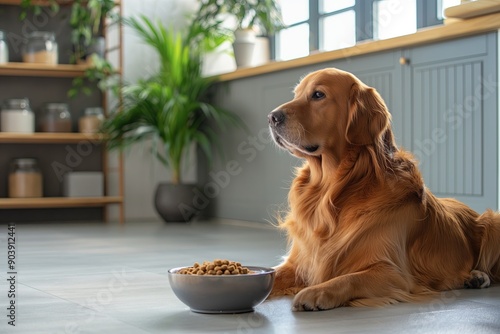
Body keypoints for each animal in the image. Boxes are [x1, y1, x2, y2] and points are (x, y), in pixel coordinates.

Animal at [268, 67, 500, 310]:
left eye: (318, 95)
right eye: (296, 95)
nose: (272, 117)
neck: (331, 189)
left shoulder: (393, 273)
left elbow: (348, 279)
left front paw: (316, 292)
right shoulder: (298, 262)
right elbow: (274, 273)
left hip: (493, 222)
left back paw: (479, 275)